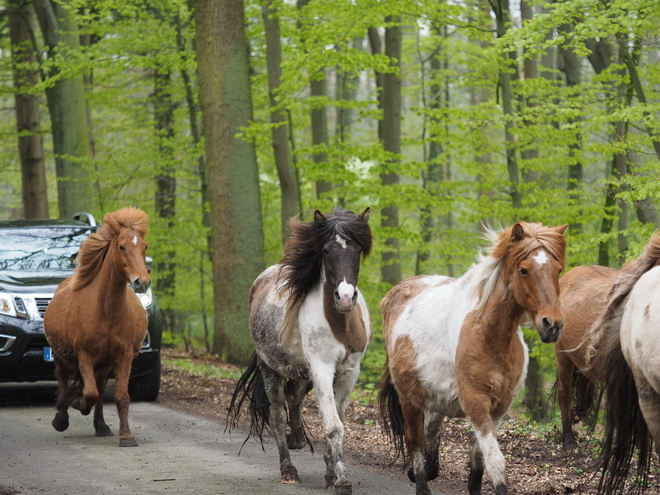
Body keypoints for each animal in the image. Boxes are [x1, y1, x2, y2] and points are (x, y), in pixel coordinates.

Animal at [44, 207, 150, 448]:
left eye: (144, 246)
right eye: (121, 246)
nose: (142, 282)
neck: (106, 311)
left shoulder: (123, 355)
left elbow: (121, 396)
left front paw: (126, 436)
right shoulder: (84, 354)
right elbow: (89, 392)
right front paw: (78, 404)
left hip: (104, 363)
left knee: (100, 388)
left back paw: (101, 425)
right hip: (61, 354)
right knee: (64, 378)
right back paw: (61, 418)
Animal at [227, 206, 372, 495]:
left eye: (358, 249)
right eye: (325, 250)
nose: (345, 298)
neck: (339, 324)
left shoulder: (349, 373)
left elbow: (338, 419)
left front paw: (331, 472)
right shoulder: (322, 369)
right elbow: (333, 426)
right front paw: (341, 480)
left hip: (303, 375)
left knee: (294, 400)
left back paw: (297, 439)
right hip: (271, 369)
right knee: (278, 415)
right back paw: (288, 469)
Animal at [376, 223, 568, 494]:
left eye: (558, 269)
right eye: (524, 270)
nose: (553, 325)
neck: (489, 335)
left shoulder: (499, 407)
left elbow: (479, 458)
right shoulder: (475, 401)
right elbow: (495, 461)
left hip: (434, 396)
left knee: (431, 429)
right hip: (408, 398)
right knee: (415, 441)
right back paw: (421, 478)